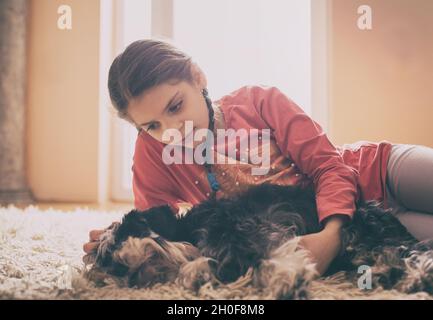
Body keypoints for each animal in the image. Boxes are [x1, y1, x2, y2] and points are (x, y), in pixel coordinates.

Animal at [83, 184, 432, 298]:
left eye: (118, 239)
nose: (119, 271)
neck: (189, 230)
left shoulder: (247, 230)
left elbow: (266, 257)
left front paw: (288, 280)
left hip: (368, 240)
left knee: (413, 254)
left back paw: (413, 278)